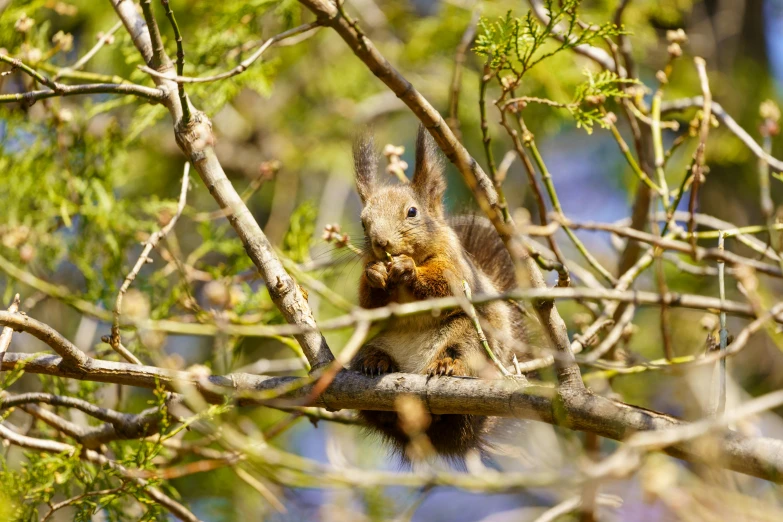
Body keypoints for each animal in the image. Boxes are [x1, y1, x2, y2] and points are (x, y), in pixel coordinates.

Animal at [350, 126, 528, 460]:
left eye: (412, 211)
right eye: (363, 222)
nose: (381, 242)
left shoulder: (456, 268)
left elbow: (445, 285)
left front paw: (407, 269)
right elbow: (368, 302)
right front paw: (376, 274)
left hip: (471, 337)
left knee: (462, 354)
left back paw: (447, 365)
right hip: (372, 341)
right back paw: (375, 363)